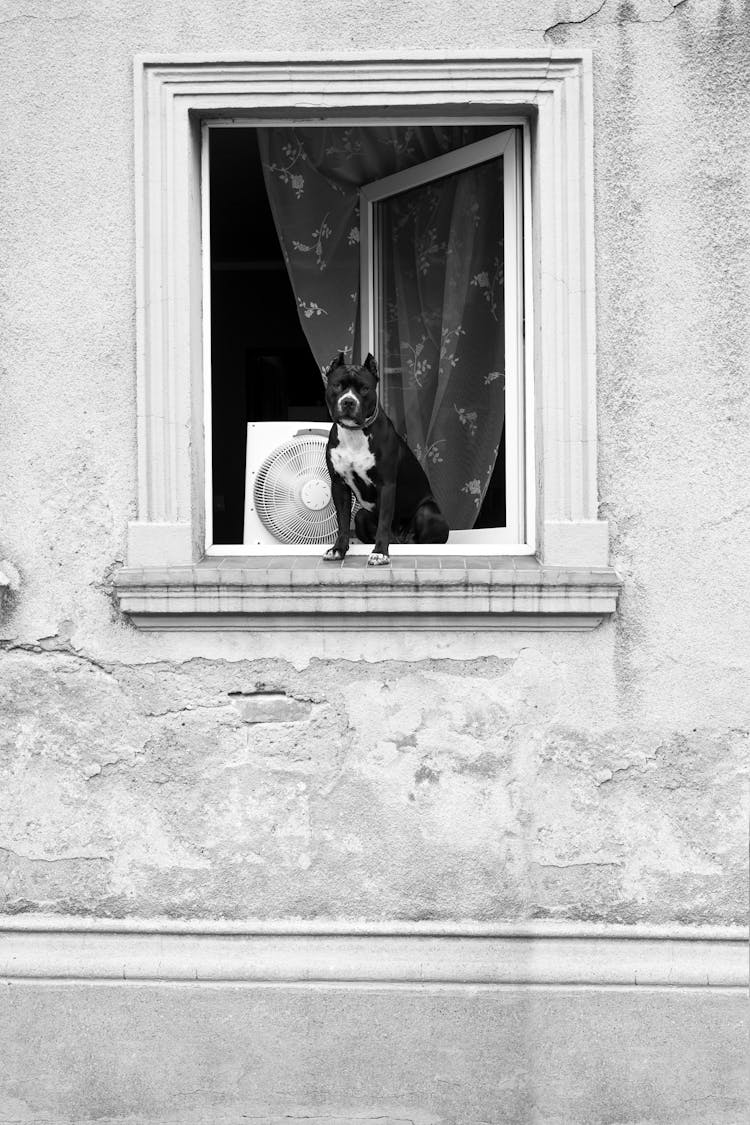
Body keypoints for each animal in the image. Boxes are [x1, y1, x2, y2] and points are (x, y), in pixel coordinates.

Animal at [323, 353, 452, 567]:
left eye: (364, 388)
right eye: (338, 385)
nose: (348, 401)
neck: (355, 434)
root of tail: (400, 539)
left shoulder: (387, 485)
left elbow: (384, 521)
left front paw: (380, 553)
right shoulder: (339, 485)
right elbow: (342, 522)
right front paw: (338, 549)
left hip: (427, 513)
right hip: (361, 516)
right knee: (360, 517)